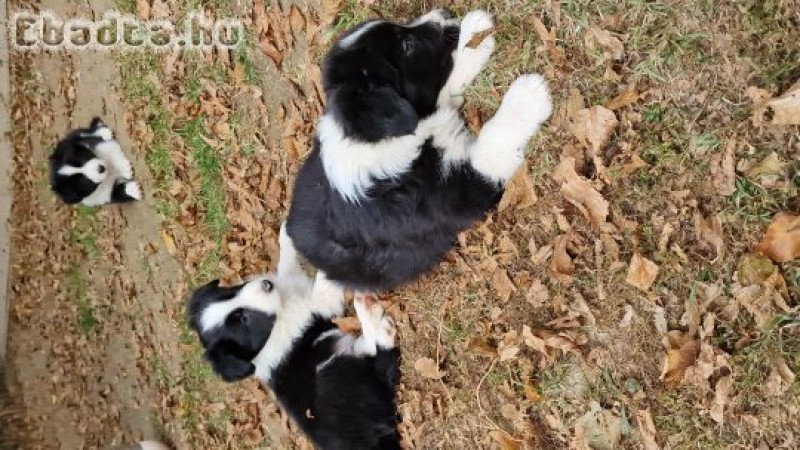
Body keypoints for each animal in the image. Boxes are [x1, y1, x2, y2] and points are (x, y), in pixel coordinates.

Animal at [191, 227, 404, 448]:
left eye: (230, 292)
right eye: (243, 319)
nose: (266, 284)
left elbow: (286, 262)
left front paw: (287, 231)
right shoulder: (319, 305)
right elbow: (322, 283)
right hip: (331, 371)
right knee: (379, 355)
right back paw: (370, 311)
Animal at [284, 9, 552, 292]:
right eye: (407, 45)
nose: (444, 13)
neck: (374, 140)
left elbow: (449, 80)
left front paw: (475, 36)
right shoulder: (460, 192)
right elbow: (492, 139)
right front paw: (528, 96)